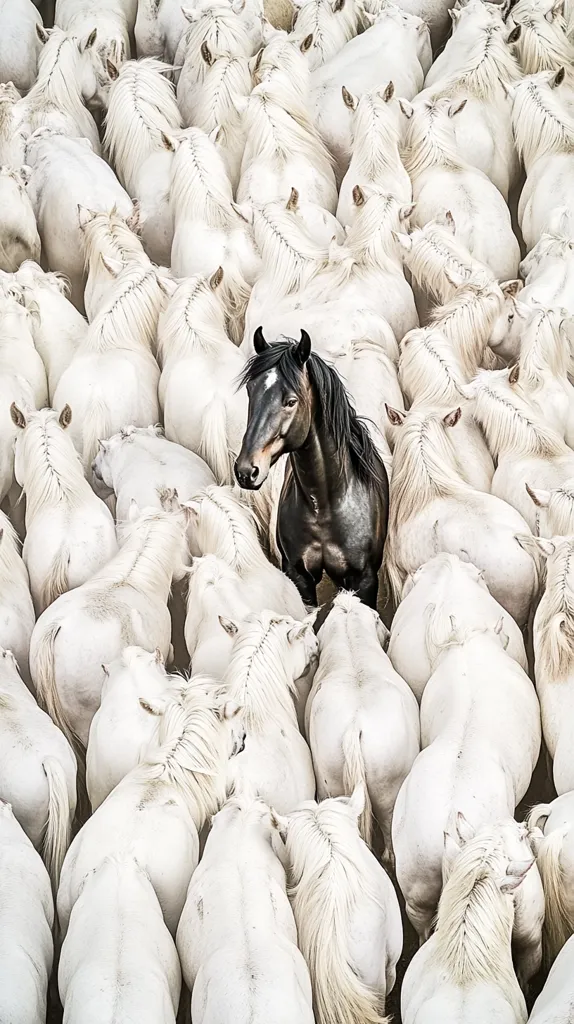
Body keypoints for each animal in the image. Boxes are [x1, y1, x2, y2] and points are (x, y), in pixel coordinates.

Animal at [235, 329, 389, 607]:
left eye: (291, 401)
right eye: (251, 391)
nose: (246, 471)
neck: (325, 505)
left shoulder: (364, 580)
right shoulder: (299, 575)